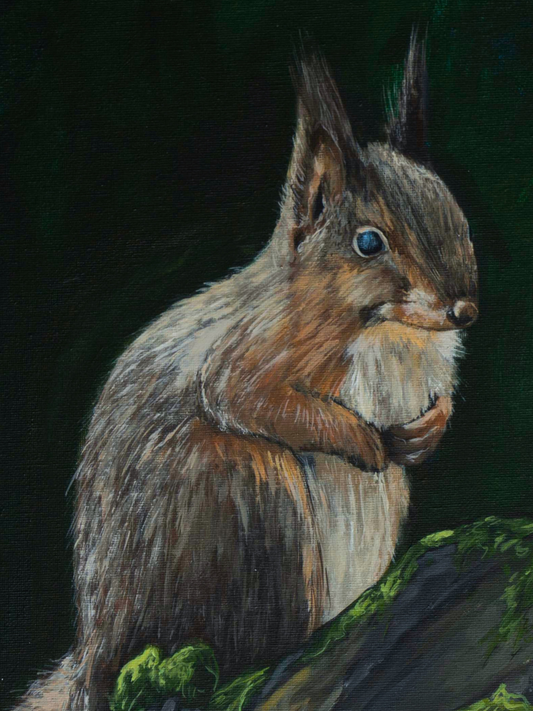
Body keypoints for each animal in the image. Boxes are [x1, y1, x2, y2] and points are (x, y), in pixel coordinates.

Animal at [16, 34, 478, 711]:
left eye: (458, 214)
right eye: (368, 243)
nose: (463, 309)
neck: (391, 331)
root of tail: (97, 652)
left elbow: (435, 406)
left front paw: (426, 432)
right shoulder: (245, 353)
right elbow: (247, 399)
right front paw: (359, 440)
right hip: (253, 497)